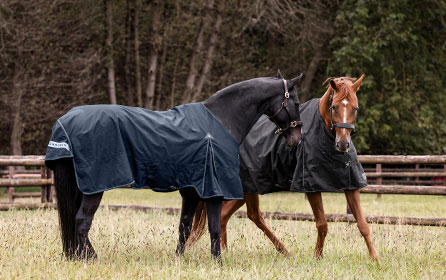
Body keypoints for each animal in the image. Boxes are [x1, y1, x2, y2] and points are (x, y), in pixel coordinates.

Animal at [48, 72, 304, 260]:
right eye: (296, 102)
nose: (296, 139)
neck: (221, 120)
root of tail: (66, 122)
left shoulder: (191, 192)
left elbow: (185, 226)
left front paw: (179, 258)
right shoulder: (213, 191)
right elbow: (213, 227)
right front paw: (218, 262)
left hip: (84, 186)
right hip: (95, 186)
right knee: (82, 221)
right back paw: (89, 258)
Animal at [188, 75, 380, 262]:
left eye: (355, 108)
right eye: (334, 107)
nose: (342, 144)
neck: (323, 132)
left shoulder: (351, 185)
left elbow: (362, 224)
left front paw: (375, 258)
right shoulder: (311, 187)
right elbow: (322, 224)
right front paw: (317, 256)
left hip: (245, 190)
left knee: (227, 215)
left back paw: (230, 251)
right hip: (249, 186)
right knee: (253, 215)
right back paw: (282, 251)